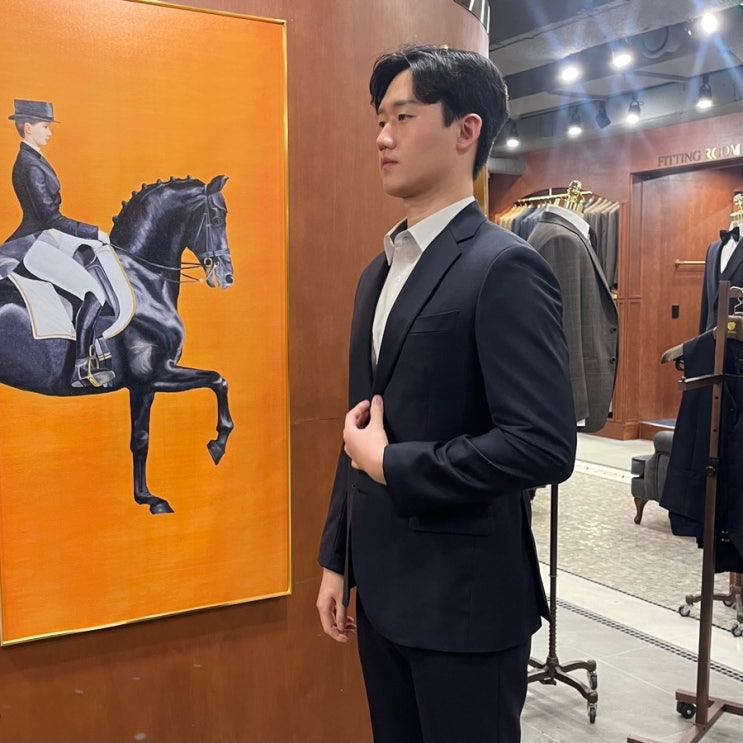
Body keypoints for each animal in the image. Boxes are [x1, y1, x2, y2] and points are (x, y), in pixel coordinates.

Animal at [0, 175, 234, 514]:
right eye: (216, 218)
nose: (227, 277)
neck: (143, 280)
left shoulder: (148, 384)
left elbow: (142, 438)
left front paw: (147, 497)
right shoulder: (153, 376)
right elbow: (216, 381)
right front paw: (215, 446)